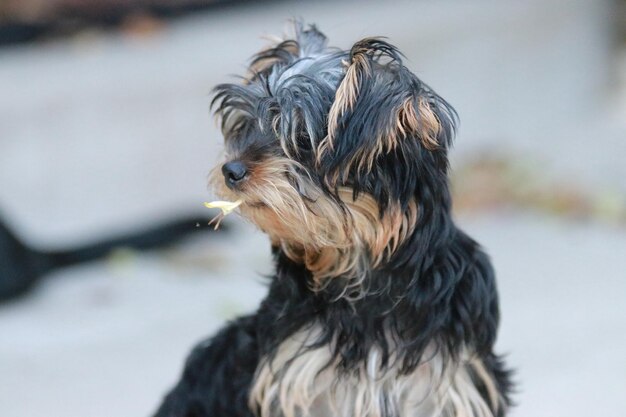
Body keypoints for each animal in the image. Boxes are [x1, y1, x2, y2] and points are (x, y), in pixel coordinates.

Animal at [152, 22, 512, 416]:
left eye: (300, 137)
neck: (358, 267)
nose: (230, 169)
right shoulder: (295, 375)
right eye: (246, 126)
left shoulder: (453, 377)